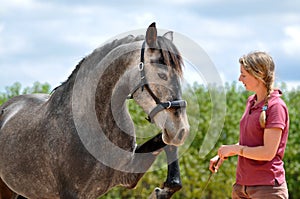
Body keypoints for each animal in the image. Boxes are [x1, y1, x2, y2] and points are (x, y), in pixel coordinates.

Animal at [0, 22, 190, 198]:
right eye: (161, 75)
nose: (181, 130)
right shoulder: (70, 193)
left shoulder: (128, 175)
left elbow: (166, 146)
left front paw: (162, 191)